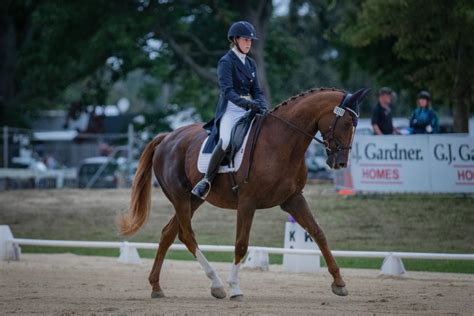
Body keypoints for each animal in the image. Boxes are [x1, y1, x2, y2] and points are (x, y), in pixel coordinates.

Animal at [118, 87, 370, 300]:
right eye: (346, 123)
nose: (340, 163)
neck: (281, 142)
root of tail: (167, 137)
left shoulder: (293, 199)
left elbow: (318, 234)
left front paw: (339, 283)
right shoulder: (247, 202)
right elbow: (241, 244)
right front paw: (235, 288)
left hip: (194, 199)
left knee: (169, 233)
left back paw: (156, 287)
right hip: (181, 197)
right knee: (187, 235)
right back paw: (217, 284)